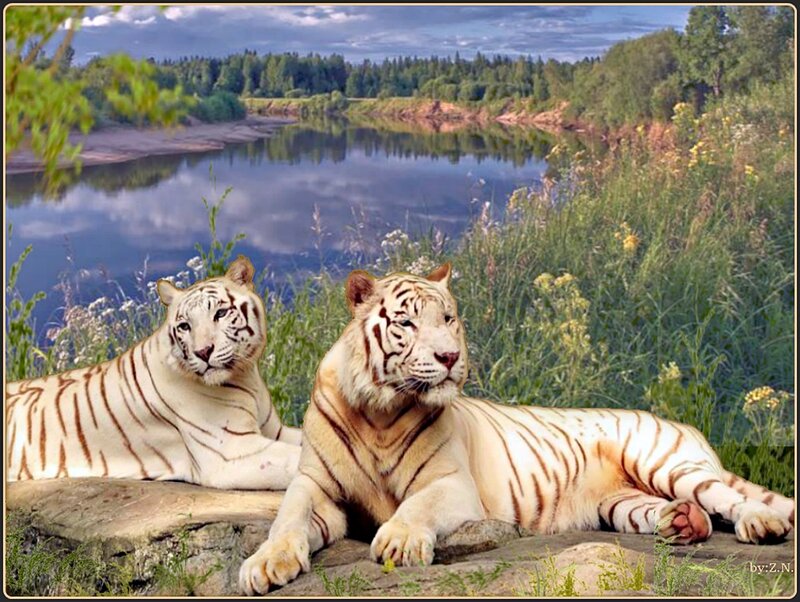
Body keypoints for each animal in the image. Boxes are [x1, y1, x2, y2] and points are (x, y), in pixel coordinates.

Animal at [6, 256, 301, 490]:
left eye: (220, 313)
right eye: (184, 326)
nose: (203, 352)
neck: (246, 374)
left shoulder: (273, 431)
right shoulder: (233, 452)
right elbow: (299, 460)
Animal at [239, 262, 795, 594]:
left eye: (449, 319)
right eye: (408, 323)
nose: (450, 356)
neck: (379, 409)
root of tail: (681, 424)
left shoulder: (451, 483)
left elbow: (417, 505)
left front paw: (399, 542)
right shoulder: (315, 485)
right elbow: (287, 519)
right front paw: (265, 565)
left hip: (664, 462)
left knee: (727, 495)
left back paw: (760, 525)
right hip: (620, 503)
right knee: (676, 512)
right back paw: (684, 524)